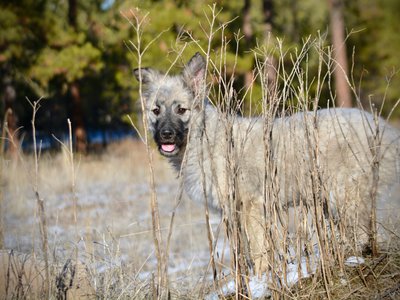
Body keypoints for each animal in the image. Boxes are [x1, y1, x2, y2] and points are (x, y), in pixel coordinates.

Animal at [135, 52, 400, 274]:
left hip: (344, 196)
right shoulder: (232, 212)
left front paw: (261, 279)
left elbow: (258, 250)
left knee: (361, 234)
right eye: (156, 111)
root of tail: (385, 130)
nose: (166, 135)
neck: (206, 139)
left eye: (181, 110)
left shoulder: (252, 206)